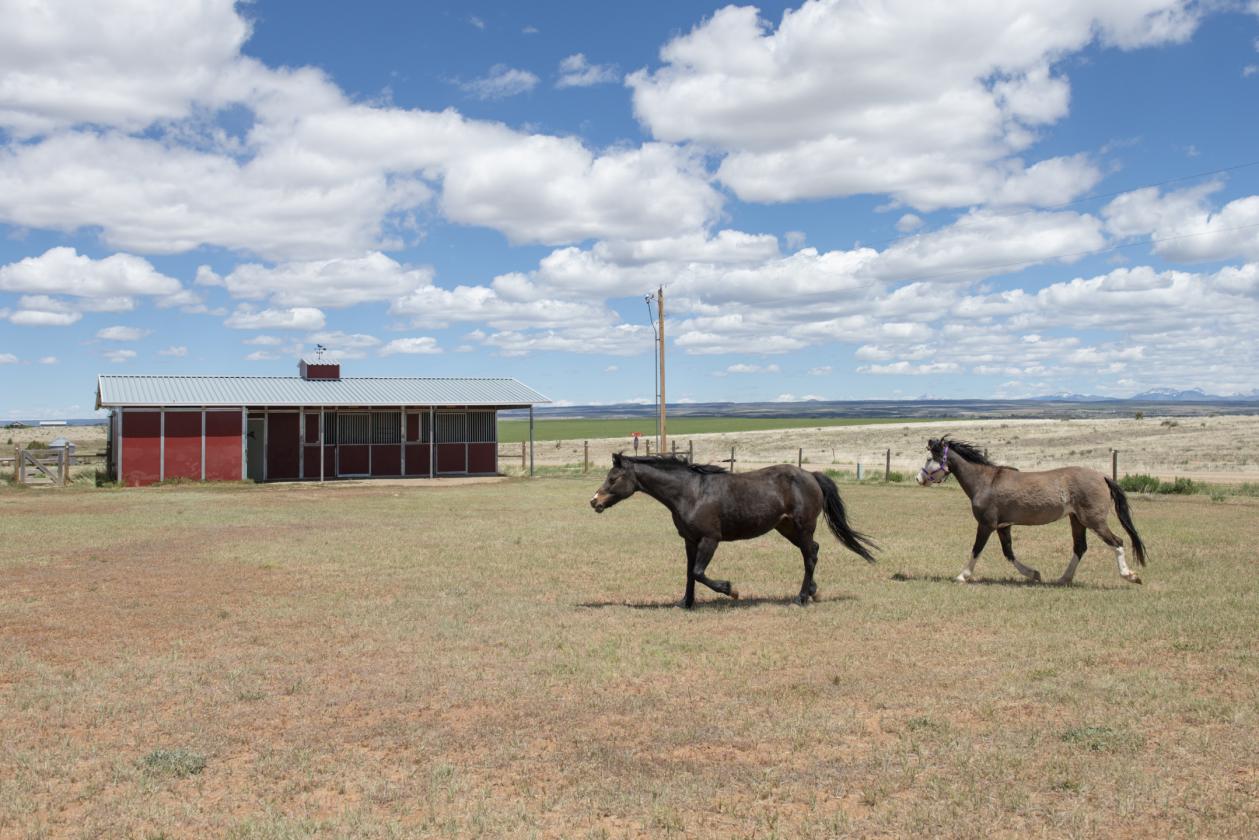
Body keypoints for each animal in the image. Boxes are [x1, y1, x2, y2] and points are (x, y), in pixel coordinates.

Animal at [589, 453, 877, 607]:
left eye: (613, 478)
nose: (594, 502)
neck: (691, 492)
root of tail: (811, 476)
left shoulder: (710, 539)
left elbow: (699, 572)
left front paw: (731, 590)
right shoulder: (690, 541)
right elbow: (689, 573)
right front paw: (685, 603)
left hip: (803, 527)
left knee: (810, 557)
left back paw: (800, 598)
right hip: (786, 528)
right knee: (813, 552)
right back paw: (813, 591)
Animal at [916, 437, 1147, 585]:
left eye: (930, 458)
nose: (918, 478)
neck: (985, 482)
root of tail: (1102, 476)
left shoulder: (986, 524)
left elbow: (977, 549)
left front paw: (962, 576)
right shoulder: (1003, 526)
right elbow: (1008, 553)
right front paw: (1034, 574)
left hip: (1094, 521)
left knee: (1117, 542)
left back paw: (1130, 576)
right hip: (1077, 520)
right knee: (1080, 547)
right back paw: (1063, 579)